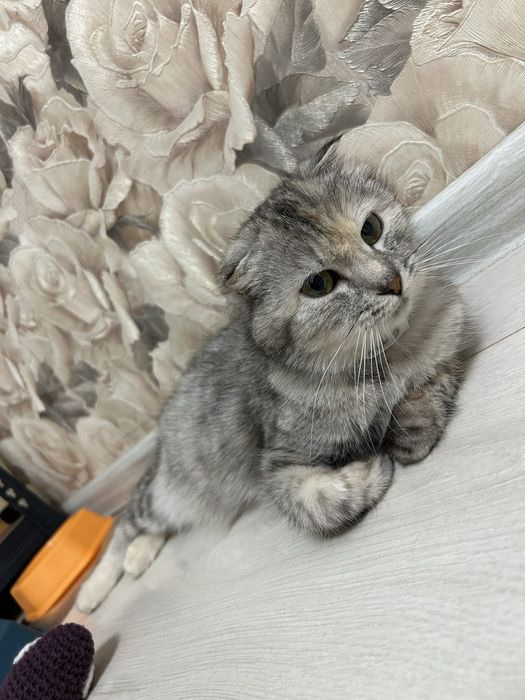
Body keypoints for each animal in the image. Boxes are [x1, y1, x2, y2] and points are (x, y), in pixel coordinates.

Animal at [77, 147, 468, 613]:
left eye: (371, 228)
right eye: (319, 283)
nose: (392, 282)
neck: (385, 355)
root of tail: (159, 446)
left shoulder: (450, 337)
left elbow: (431, 388)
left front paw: (410, 430)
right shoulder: (279, 466)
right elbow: (325, 503)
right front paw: (373, 464)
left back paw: (139, 558)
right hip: (171, 492)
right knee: (125, 525)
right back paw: (94, 591)